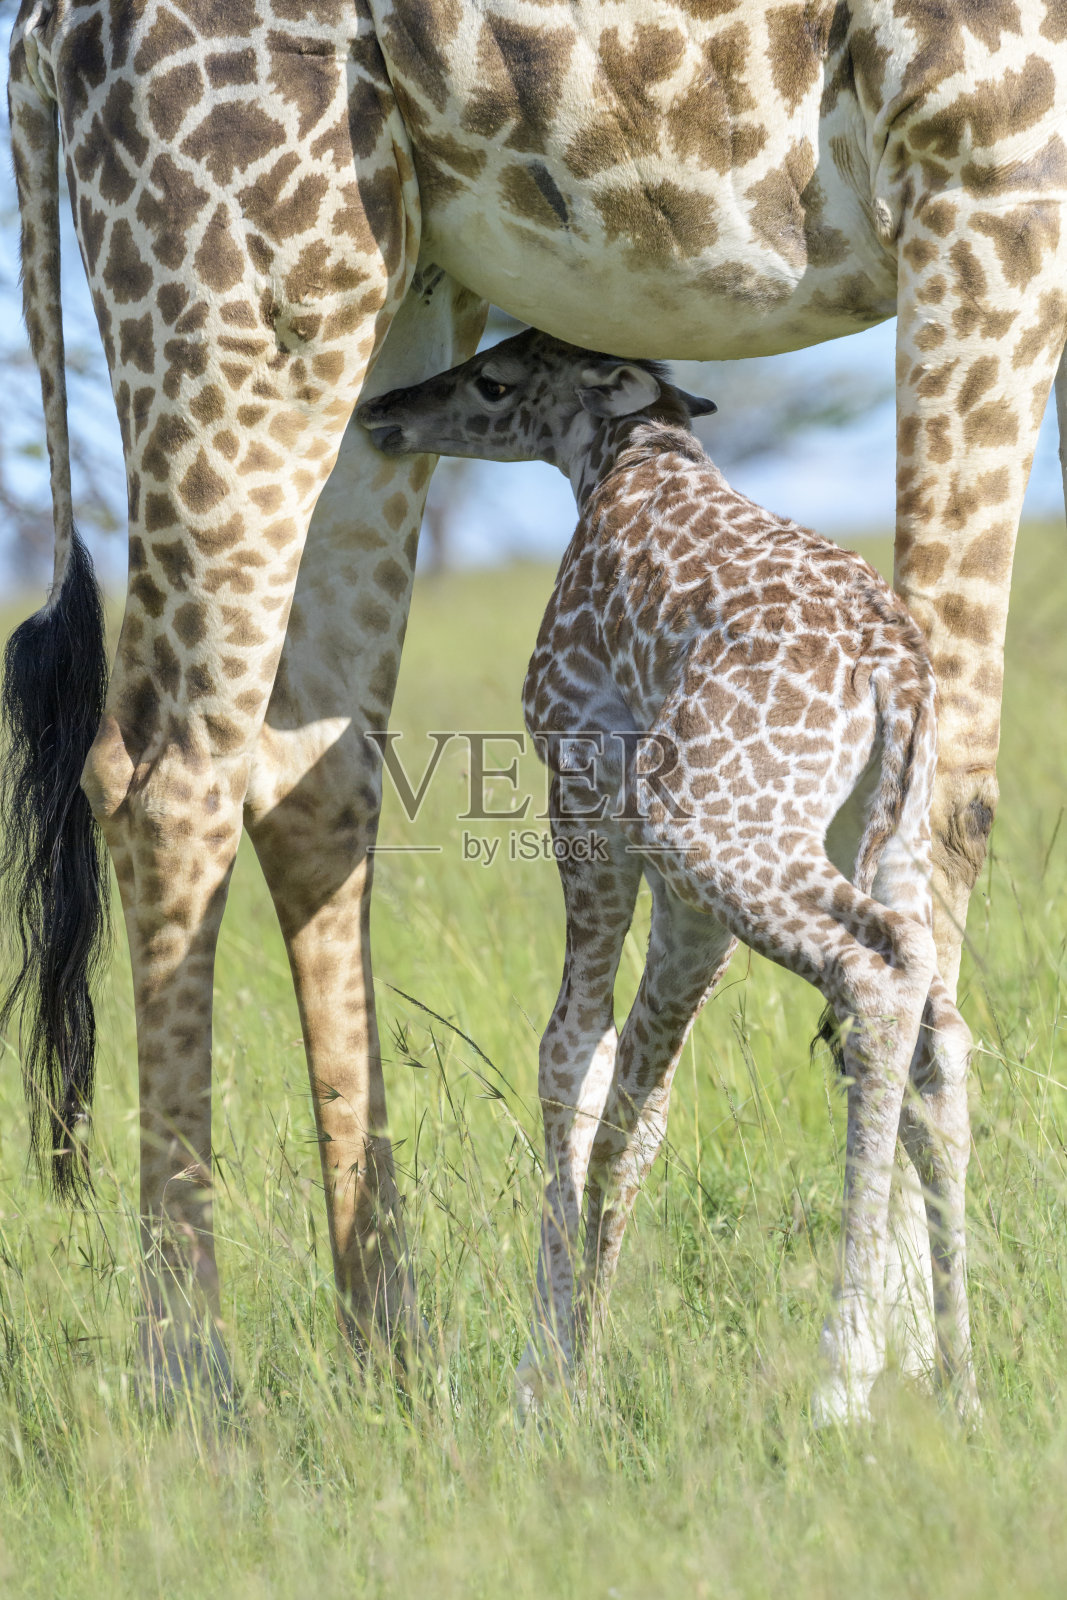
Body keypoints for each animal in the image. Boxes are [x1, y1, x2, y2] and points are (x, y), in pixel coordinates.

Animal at [357, 329, 977, 1421]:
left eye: (493, 381)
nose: (384, 411)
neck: (627, 462)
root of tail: (891, 670)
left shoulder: (584, 784)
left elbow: (571, 1052)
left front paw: (547, 1371)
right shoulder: (683, 891)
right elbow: (637, 1105)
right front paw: (576, 1354)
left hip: (712, 826)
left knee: (873, 973)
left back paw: (842, 1370)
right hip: (874, 832)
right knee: (934, 1021)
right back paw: (959, 1383)